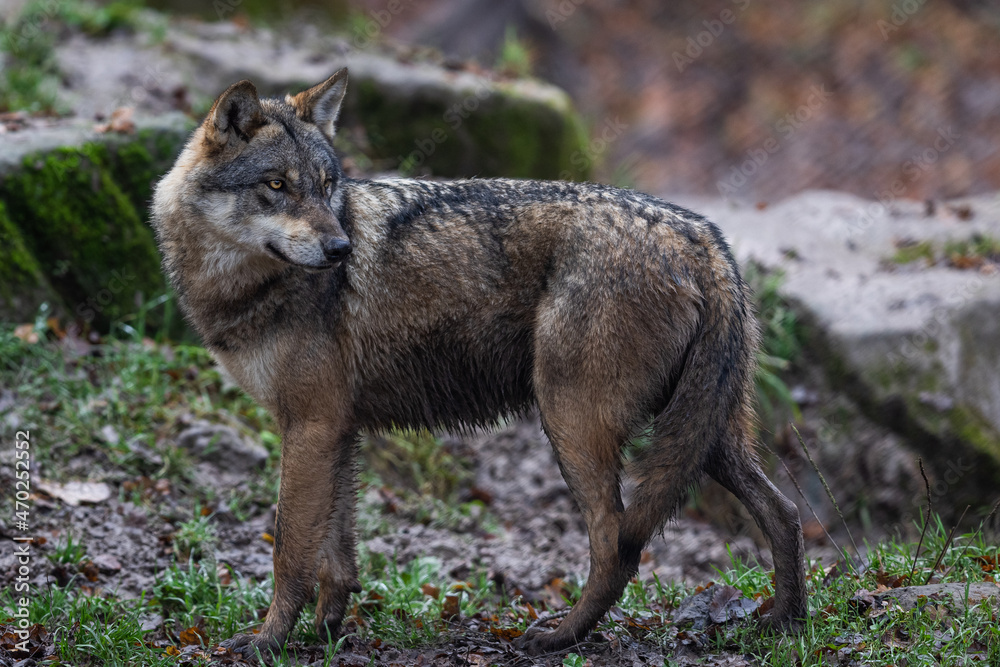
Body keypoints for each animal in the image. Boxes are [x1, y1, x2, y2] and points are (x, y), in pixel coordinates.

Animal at [151, 68, 807, 655]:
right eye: (277, 185)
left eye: (324, 183)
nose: (341, 248)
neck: (242, 289)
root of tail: (703, 239)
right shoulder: (334, 430)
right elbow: (335, 554)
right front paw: (325, 633)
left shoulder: (310, 428)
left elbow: (290, 549)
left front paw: (267, 643)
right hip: (704, 437)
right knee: (785, 512)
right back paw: (784, 625)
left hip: (574, 425)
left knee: (616, 545)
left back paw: (559, 637)